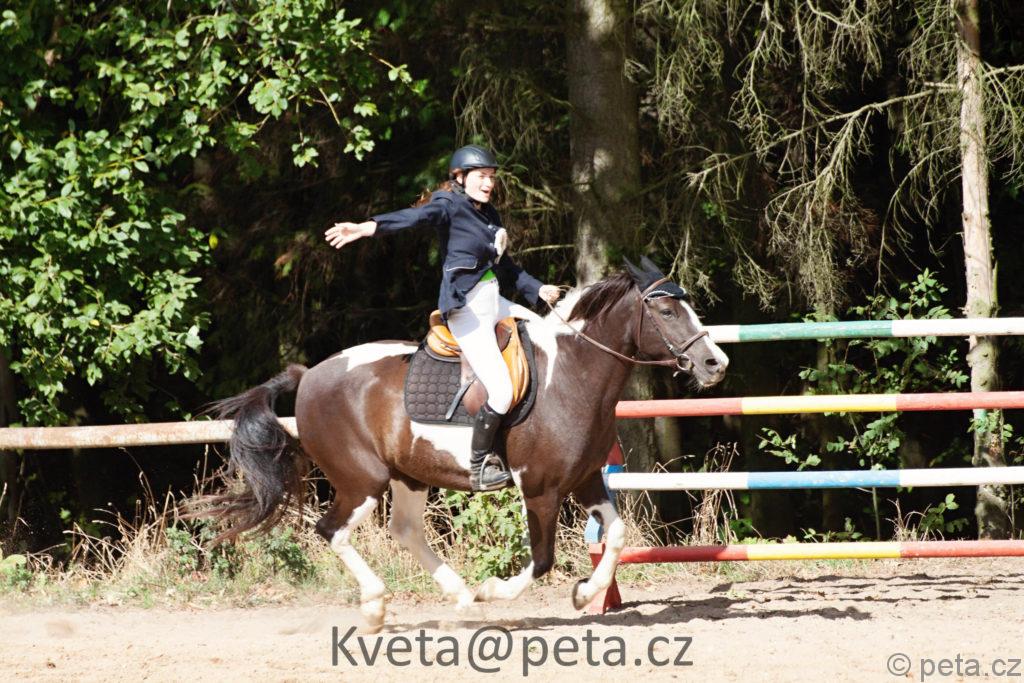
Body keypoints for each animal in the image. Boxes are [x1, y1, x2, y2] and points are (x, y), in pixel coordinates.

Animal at [197, 258, 729, 633]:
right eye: (666, 311)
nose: (715, 363)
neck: (573, 375)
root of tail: (308, 375)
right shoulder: (540, 488)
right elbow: (542, 559)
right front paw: (496, 590)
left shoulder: (584, 479)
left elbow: (615, 536)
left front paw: (583, 595)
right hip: (361, 480)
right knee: (334, 531)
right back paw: (378, 608)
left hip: (408, 475)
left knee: (405, 530)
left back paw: (459, 598)